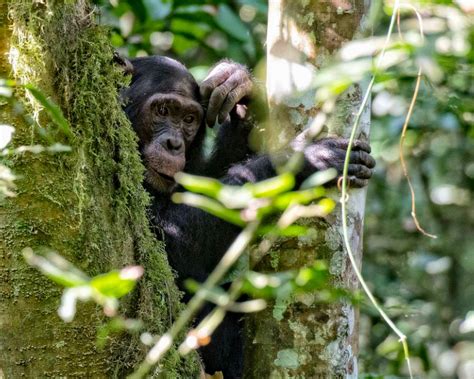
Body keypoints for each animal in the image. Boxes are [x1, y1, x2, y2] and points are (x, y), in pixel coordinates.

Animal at [119, 55, 378, 378]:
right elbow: (169, 239)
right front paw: (307, 158)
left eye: (188, 120)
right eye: (163, 111)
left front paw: (240, 89)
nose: (174, 144)